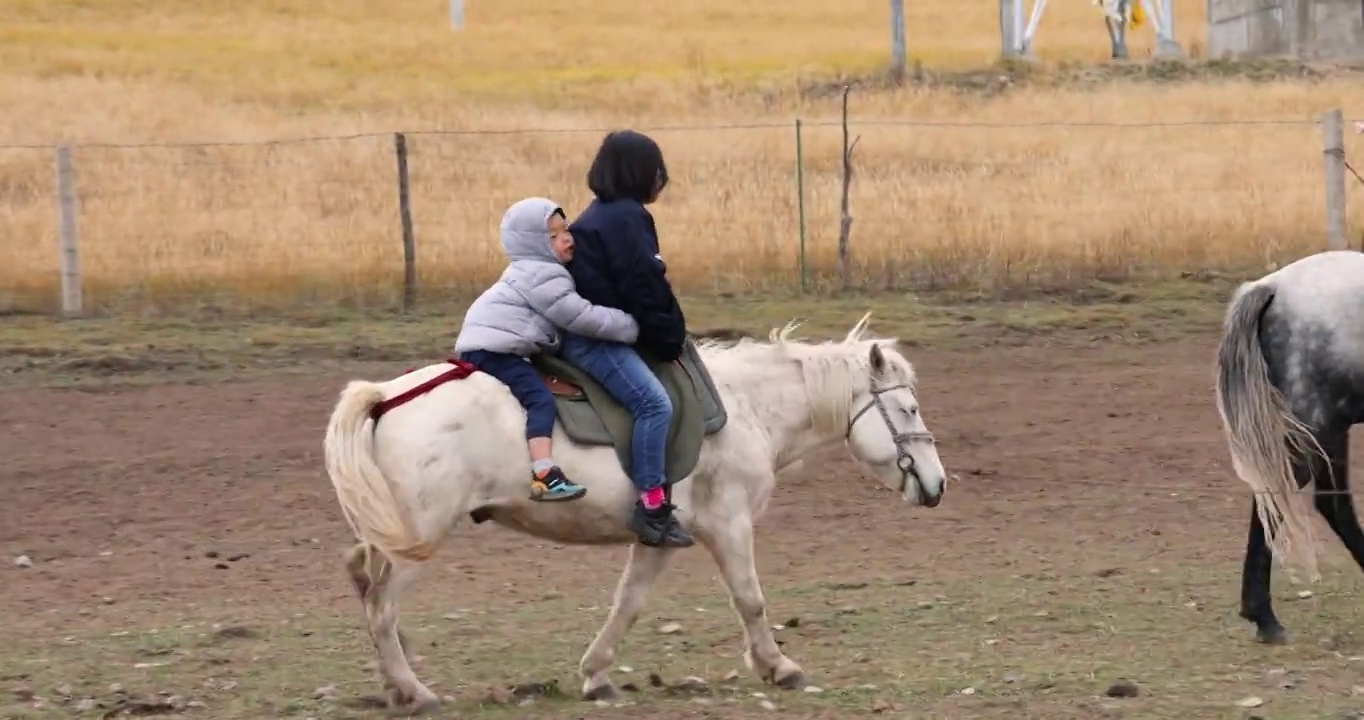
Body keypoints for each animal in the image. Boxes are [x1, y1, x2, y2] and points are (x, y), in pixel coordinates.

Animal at [325, 312, 954, 709]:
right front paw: (779, 667)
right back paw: (417, 692)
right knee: (381, 610)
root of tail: (386, 396)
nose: (938, 484)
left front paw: (596, 676)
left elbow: (627, 604)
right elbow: (751, 600)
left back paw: (396, 687)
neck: (747, 407)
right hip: (415, 546)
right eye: (908, 408)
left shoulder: (658, 537)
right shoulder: (729, 524)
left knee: (367, 592)